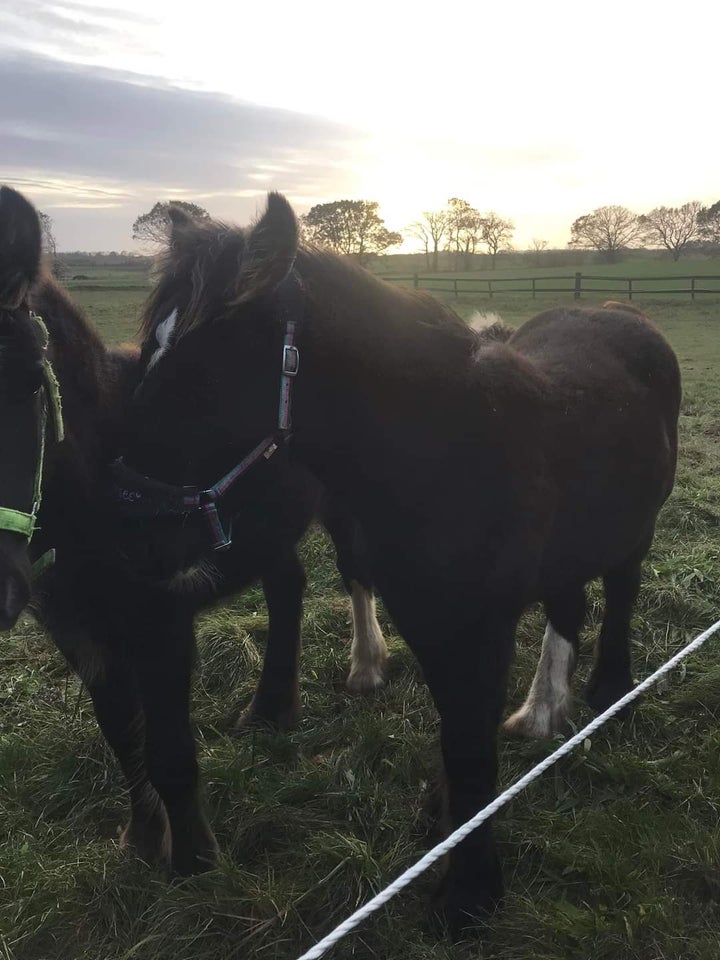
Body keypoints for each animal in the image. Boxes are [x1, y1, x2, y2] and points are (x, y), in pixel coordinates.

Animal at [0, 186, 388, 876]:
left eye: (25, 375)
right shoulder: (82, 634)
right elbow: (122, 737)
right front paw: (142, 839)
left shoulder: (163, 627)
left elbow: (169, 751)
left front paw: (194, 863)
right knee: (288, 586)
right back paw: (269, 709)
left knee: (354, 573)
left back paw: (365, 670)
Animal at [114, 195, 680, 928]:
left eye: (198, 374)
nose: (130, 532)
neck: (444, 454)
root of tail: (623, 313)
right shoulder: (424, 615)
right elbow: (457, 734)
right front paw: (446, 823)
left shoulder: (482, 625)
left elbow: (469, 745)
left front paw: (469, 894)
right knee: (569, 604)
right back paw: (540, 712)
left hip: (634, 533)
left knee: (619, 595)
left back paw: (609, 694)